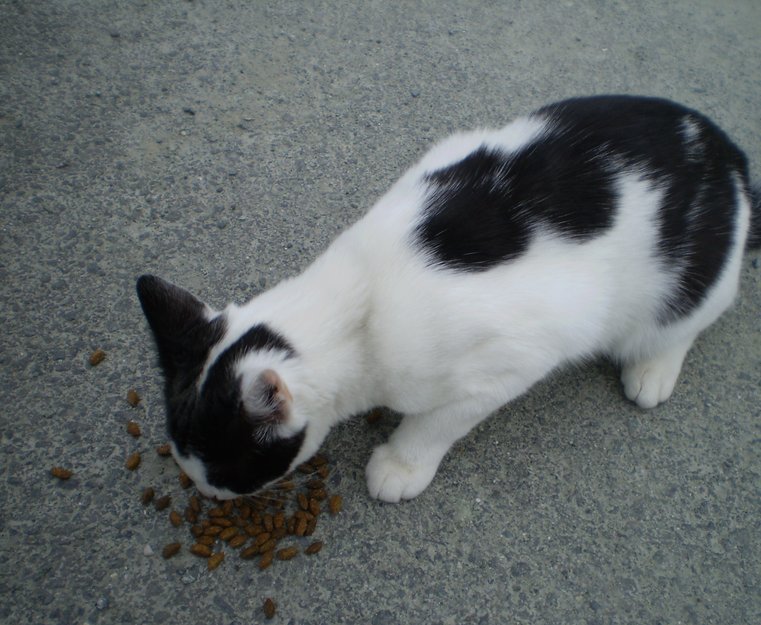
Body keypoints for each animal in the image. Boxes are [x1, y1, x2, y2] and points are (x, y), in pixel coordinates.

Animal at [137, 95, 760, 503]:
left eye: (227, 472)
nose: (207, 495)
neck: (358, 300)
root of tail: (725, 150)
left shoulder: (509, 362)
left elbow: (437, 423)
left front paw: (400, 463)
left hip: (690, 282)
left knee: (689, 318)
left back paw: (652, 369)